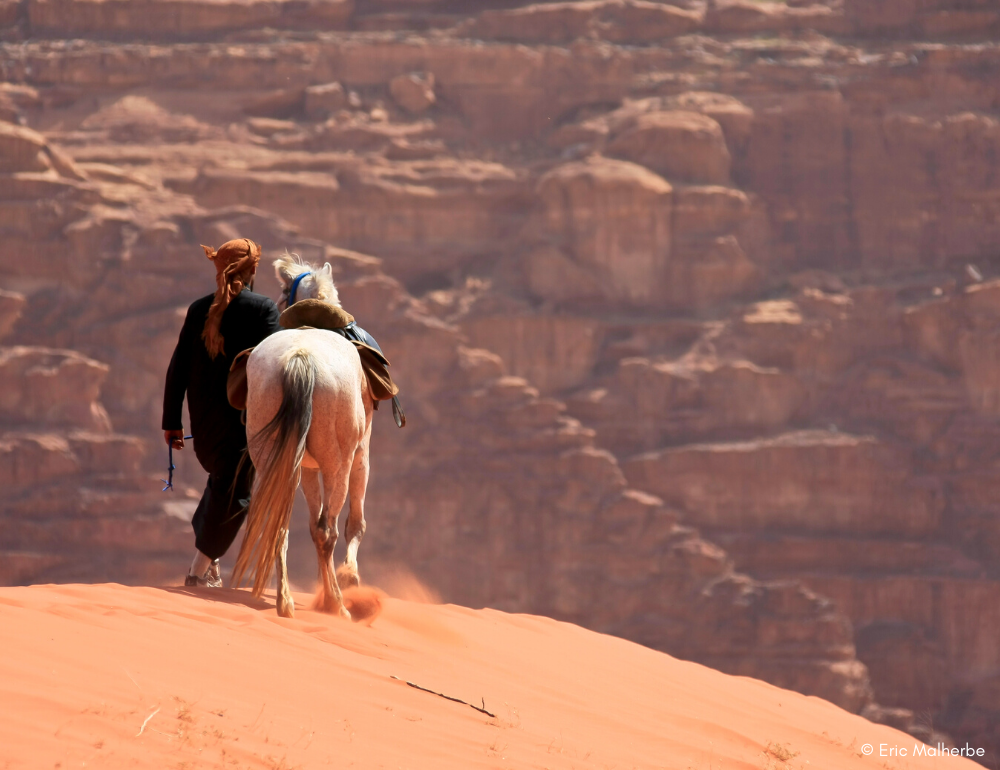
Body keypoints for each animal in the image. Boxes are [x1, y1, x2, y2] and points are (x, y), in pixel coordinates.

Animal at [232, 256, 374, 616]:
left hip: (275, 459)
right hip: (337, 463)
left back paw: (286, 600)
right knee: (328, 530)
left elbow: (310, 524)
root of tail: (300, 358)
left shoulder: (306, 466)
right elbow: (353, 523)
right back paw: (337, 603)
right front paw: (349, 577)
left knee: (279, 521)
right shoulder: (360, 455)